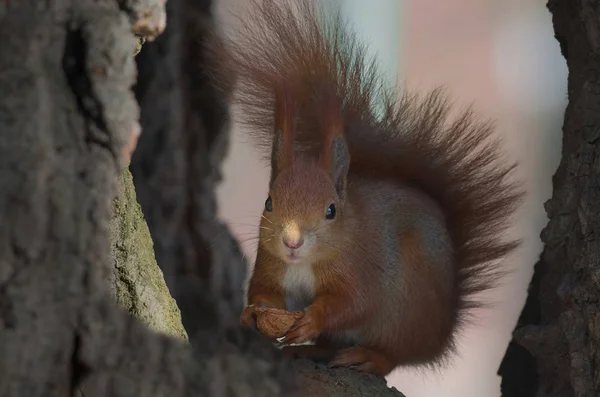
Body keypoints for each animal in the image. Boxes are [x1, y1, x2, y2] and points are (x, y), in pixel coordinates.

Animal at [213, 0, 524, 374]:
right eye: (269, 202)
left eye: (331, 210)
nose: (292, 242)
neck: (305, 263)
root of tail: (440, 336)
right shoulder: (272, 266)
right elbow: (264, 292)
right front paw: (252, 313)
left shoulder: (361, 269)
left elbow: (353, 303)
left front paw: (313, 319)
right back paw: (313, 350)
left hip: (408, 306)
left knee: (394, 355)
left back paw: (368, 355)